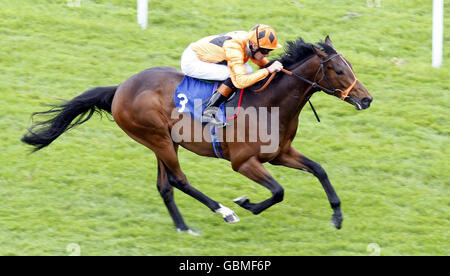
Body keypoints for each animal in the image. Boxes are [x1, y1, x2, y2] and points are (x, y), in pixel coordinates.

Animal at [21, 36, 372, 233]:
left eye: (350, 67)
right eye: (339, 70)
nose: (367, 99)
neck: (270, 103)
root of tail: (120, 88)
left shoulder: (281, 153)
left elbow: (319, 170)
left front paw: (337, 216)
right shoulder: (244, 162)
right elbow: (278, 191)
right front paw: (245, 203)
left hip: (163, 142)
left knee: (165, 185)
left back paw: (183, 227)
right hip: (158, 138)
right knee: (179, 180)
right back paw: (225, 212)